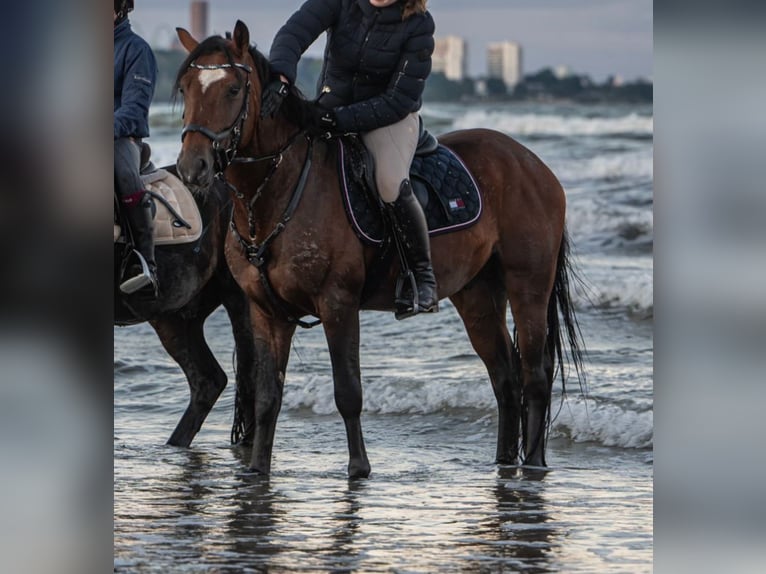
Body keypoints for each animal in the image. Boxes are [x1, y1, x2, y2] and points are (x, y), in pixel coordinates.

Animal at [172, 22, 584, 480]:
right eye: (187, 87)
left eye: (232, 89)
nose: (192, 168)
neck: (278, 192)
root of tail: (532, 163)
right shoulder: (267, 312)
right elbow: (266, 396)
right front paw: (258, 468)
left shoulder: (338, 303)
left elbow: (348, 391)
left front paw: (358, 468)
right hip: (477, 295)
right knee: (505, 378)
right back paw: (504, 463)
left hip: (528, 285)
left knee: (534, 375)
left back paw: (534, 464)